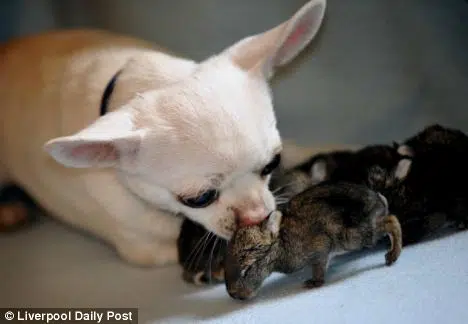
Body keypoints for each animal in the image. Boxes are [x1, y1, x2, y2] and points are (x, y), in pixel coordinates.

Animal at [225, 182, 400, 302]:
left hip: (355, 235)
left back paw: (391, 256)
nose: (232, 294)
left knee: (391, 220)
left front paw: (314, 283)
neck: (280, 244)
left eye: (247, 269)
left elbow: (319, 266)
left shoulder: (320, 249)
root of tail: (380, 200)